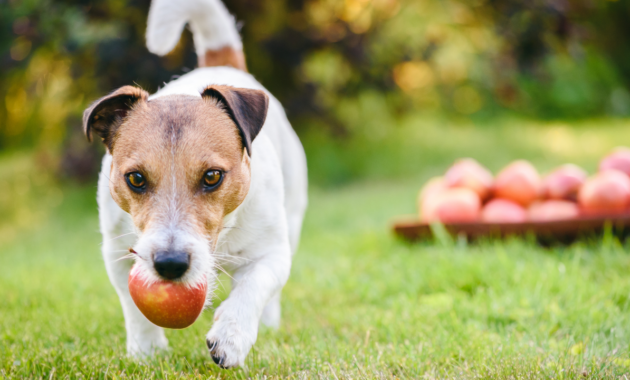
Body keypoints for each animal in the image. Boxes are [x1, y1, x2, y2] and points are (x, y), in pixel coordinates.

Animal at [82, 0, 310, 370]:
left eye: (212, 176)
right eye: (136, 178)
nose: (170, 264)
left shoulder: (272, 251)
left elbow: (254, 285)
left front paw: (232, 336)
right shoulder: (117, 254)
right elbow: (134, 308)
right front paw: (146, 352)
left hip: (292, 215)